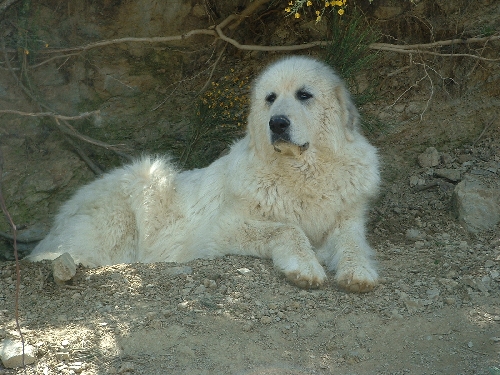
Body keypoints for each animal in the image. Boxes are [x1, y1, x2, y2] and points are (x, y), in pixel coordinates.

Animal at [30, 55, 378, 292]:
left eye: (304, 95)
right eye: (270, 98)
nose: (277, 123)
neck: (303, 173)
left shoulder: (347, 221)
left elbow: (353, 244)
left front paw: (359, 273)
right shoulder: (221, 230)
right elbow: (288, 230)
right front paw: (304, 267)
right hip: (142, 185)